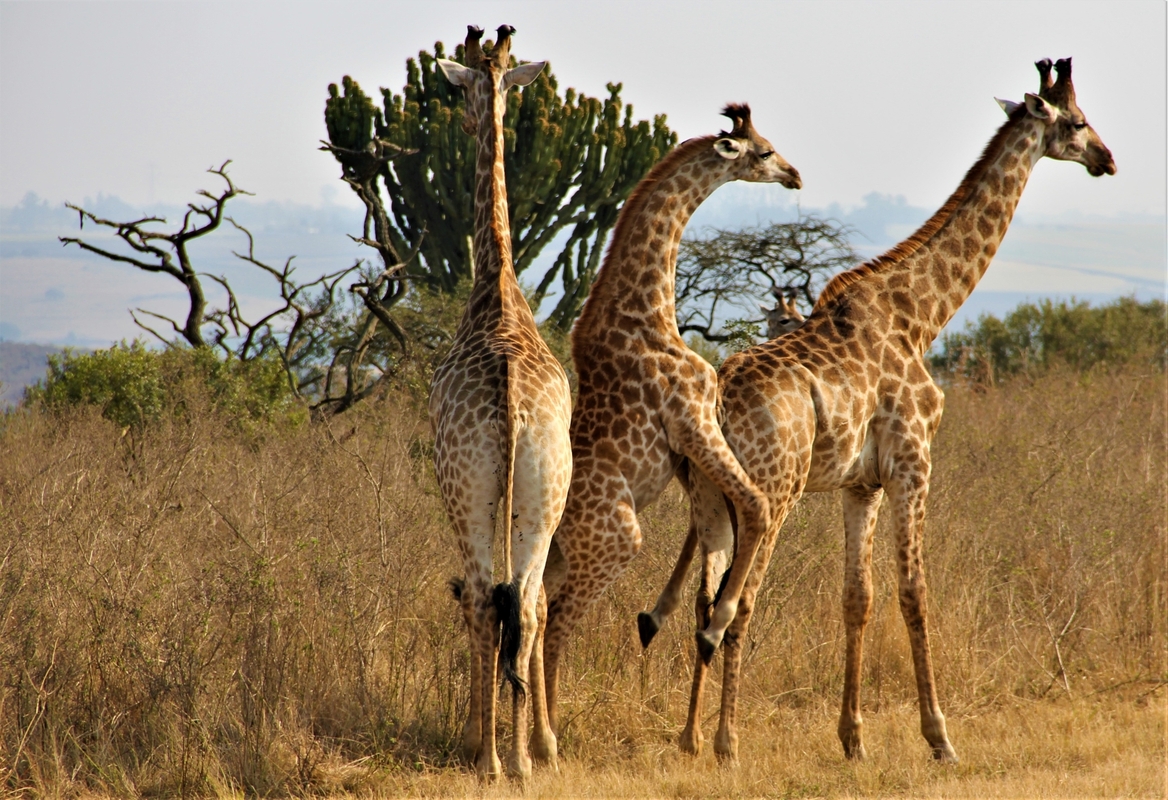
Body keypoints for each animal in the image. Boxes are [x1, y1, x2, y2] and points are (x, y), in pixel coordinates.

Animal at [540, 105, 802, 738]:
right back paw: (547, 740)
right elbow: (756, 505)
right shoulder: (692, 419)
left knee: (527, 618)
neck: (650, 309)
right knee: (556, 625)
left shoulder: (691, 447)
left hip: (559, 556)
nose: (795, 176)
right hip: (615, 542)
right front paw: (716, 620)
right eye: (763, 151)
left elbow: (721, 525)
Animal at [639, 57, 1115, 763]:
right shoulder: (914, 460)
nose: (1107, 160)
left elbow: (856, 598)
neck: (922, 314)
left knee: (705, 598)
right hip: (772, 492)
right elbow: (913, 591)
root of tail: (715, 402)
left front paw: (853, 738)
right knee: (740, 600)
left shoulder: (860, 483)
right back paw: (727, 742)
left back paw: (692, 737)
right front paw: (940, 738)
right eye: (1078, 122)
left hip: (709, 497)